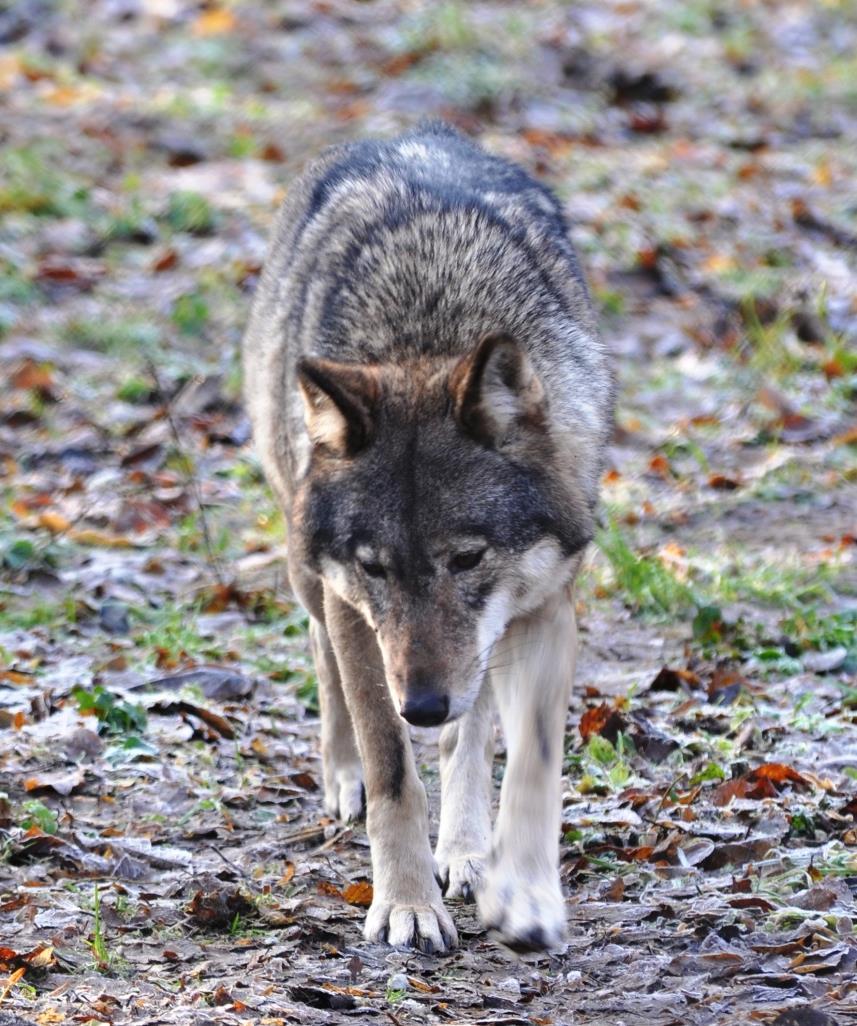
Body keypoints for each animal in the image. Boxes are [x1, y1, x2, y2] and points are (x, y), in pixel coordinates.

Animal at [243, 122, 615, 952]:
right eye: (376, 567)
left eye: (467, 558)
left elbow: (528, 760)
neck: (429, 327)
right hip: (310, 573)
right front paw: (407, 904)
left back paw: (468, 850)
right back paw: (343, 776)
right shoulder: (355, 607)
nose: (420, 705)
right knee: (323, 656)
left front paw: (523, 896)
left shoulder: (543, 608)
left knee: (469, 735)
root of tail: (410, 132)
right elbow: (394, 772)